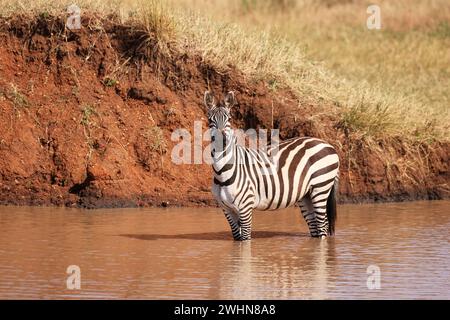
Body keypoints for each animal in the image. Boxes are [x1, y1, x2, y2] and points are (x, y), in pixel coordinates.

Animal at [206, 90, 340, 240]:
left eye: (228, 119)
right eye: (210, 120)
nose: (222, 140)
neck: (222, 173)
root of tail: (328, 144)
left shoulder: (245, 207)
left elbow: (245, 240)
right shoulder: (227, 209)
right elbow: (237, 239)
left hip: (320, 187)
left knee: (323, 226)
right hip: (306, 195)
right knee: (316, 227)